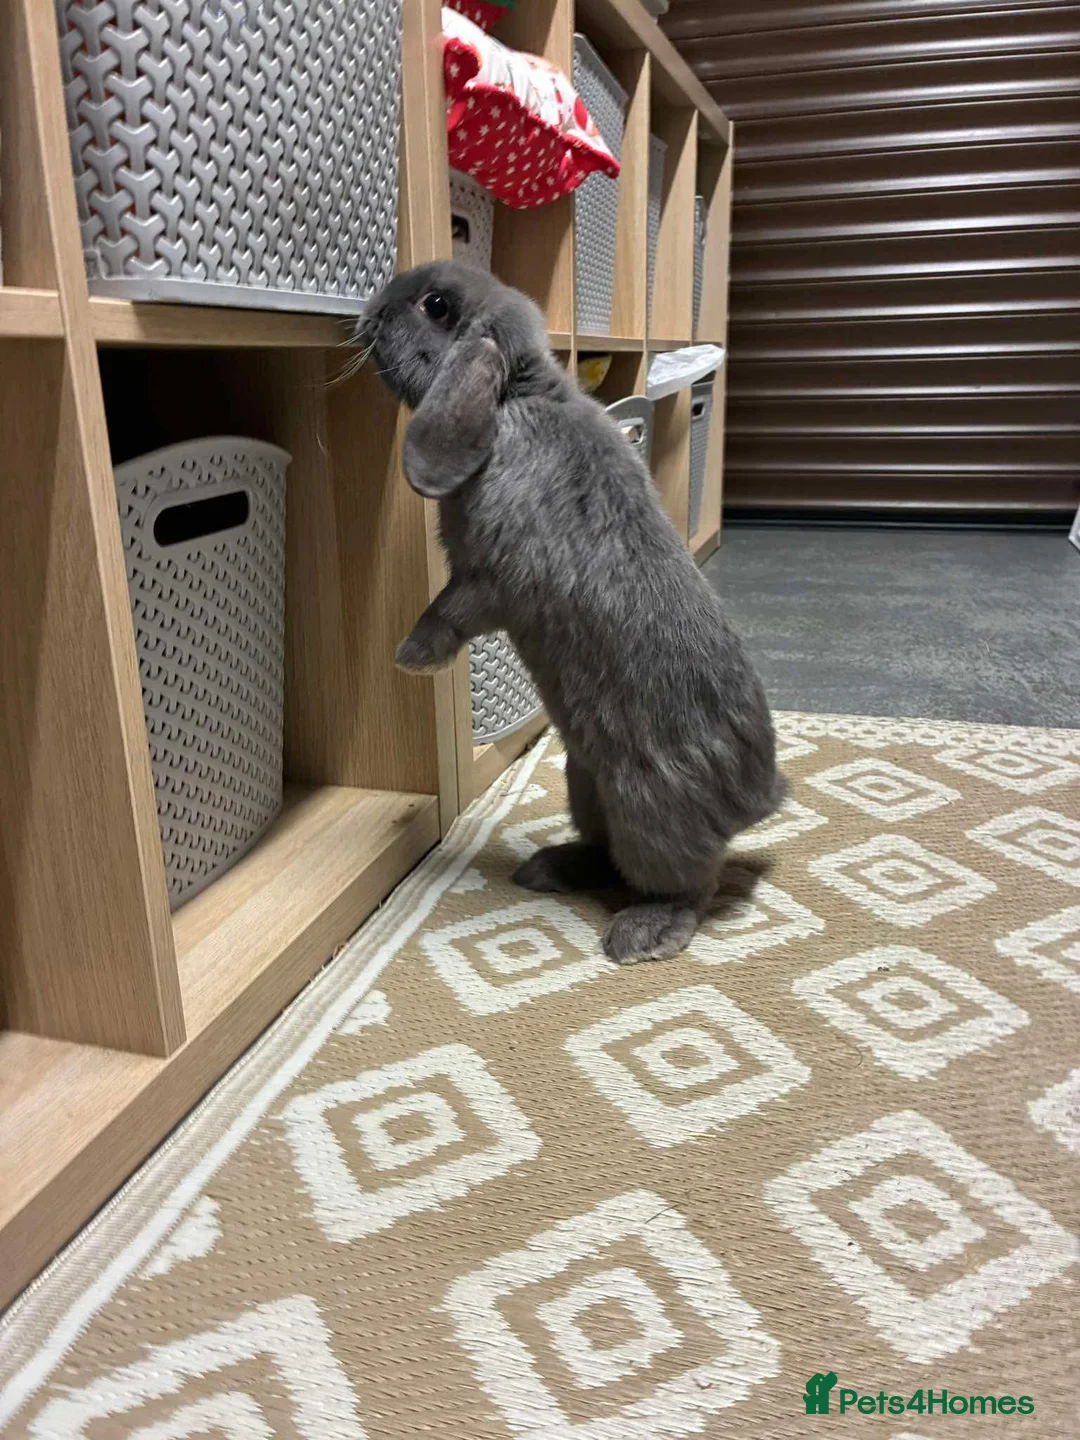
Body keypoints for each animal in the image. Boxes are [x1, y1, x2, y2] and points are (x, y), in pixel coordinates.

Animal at [361, 259, 784, 964]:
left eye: (436, 306)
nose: (369, 311)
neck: (513, 399)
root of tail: (755, 799)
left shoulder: (493, 580)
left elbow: (448, 611)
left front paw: (410, 660)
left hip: (648, 812)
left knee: (690, 884)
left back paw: (640, 935)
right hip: (583, 779)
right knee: (606, 853)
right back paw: (545, 869)